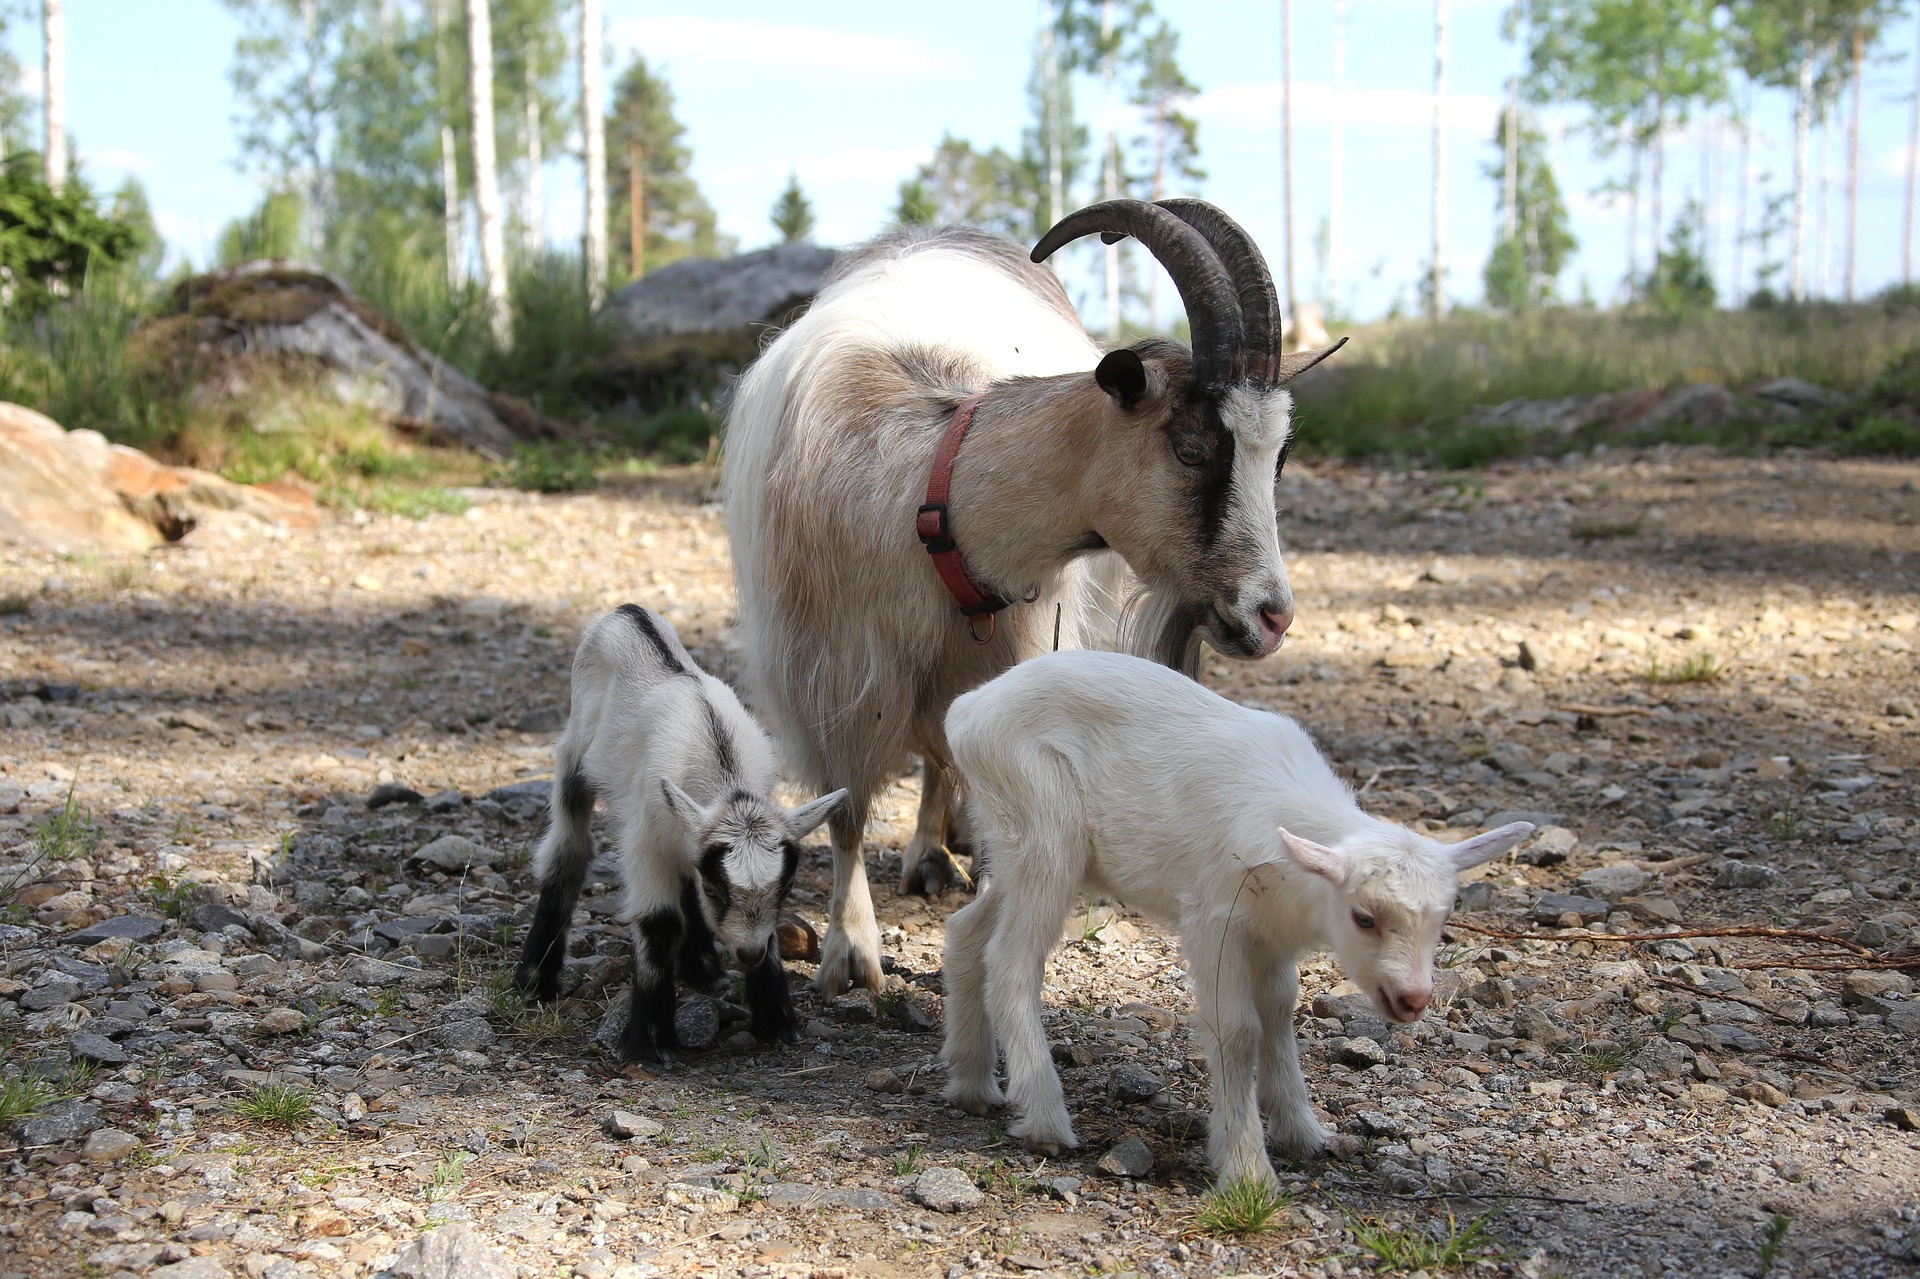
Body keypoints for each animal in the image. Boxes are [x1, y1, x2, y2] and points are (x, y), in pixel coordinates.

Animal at [721, 201, 1336, 998]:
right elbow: (848, 811)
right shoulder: (833, 675)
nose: (1272, 615)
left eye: (1279, 456)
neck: (931, 499)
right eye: (1192, 450)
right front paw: (851, 954)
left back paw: (934, 852)